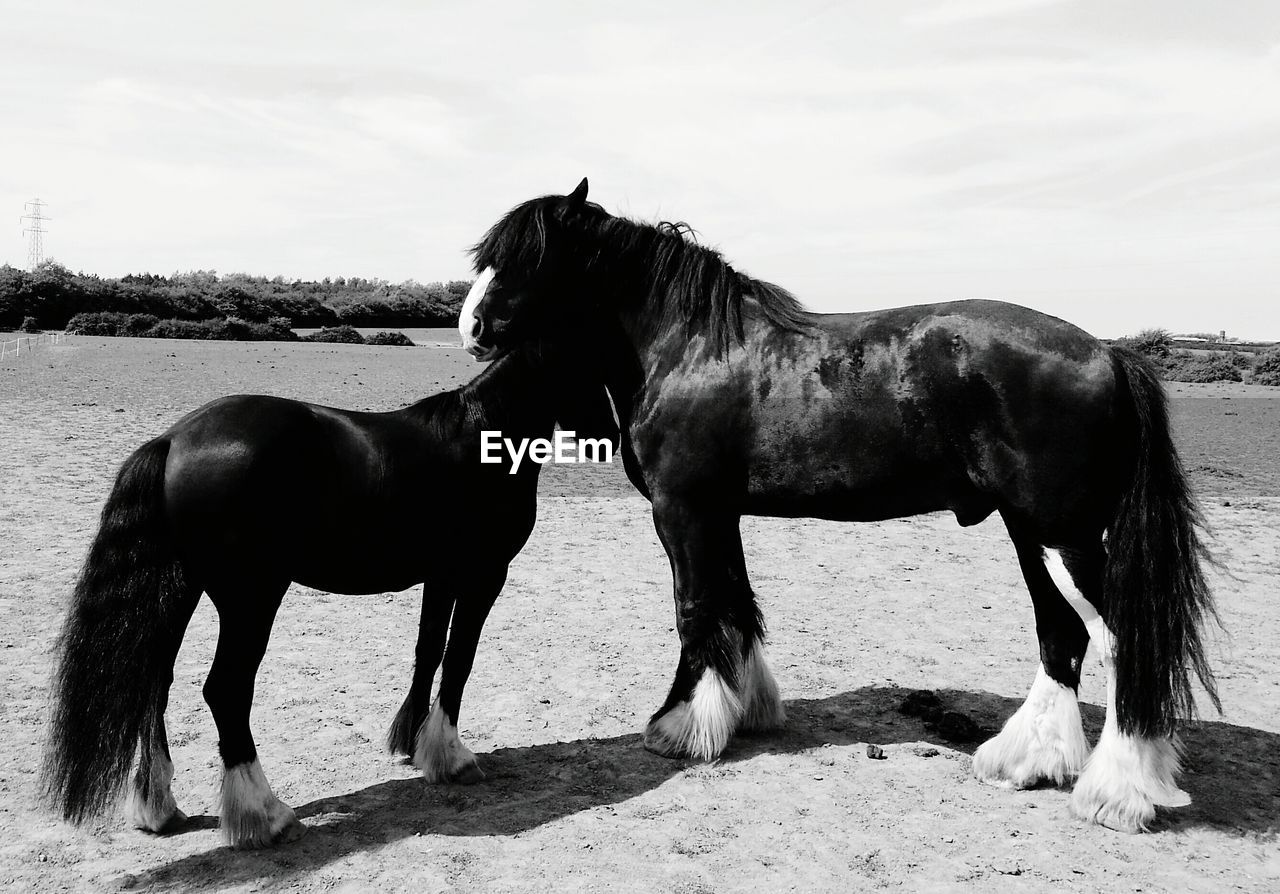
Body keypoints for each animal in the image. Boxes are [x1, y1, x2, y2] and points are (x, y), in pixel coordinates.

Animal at [42, 338, 616, 845]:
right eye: (590, 360)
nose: (608, 435)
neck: (480, 437)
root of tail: (175, 438)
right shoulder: (483, 575)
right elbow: (460, 660)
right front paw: (452, 758)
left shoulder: (441, 576)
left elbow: (429, 650)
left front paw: (411, 742)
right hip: (252, 598)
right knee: (225, 690)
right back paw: (266, 815)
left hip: (181, 590)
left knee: (154, 682)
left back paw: (159, 805)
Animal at [458, 178, 1218, 829]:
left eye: (526, 257)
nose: (470, 326)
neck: (688, 348)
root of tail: (1107, 354)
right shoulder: (720, 513)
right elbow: (737, 603)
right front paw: (746, 708)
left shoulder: (682, 510)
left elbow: (695, 608)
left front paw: (680, 726)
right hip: (1032, 531)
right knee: (1064, 635)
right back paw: (1025, 761)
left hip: (1062, 532)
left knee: (1121, 637)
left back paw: (1116, 792)